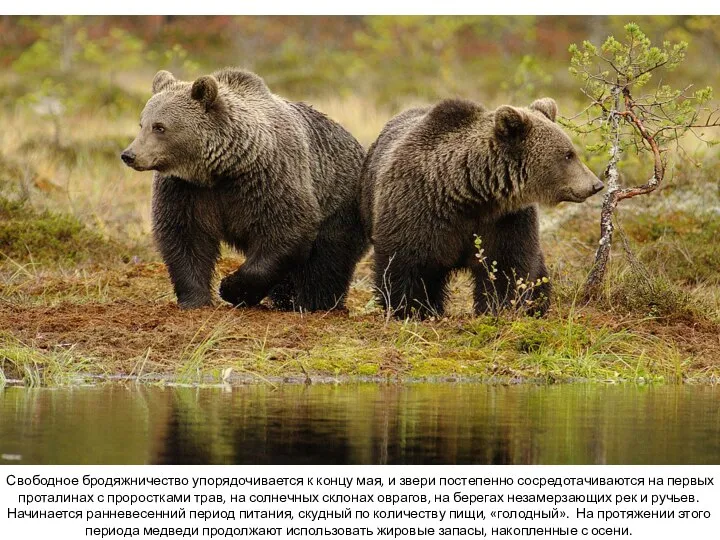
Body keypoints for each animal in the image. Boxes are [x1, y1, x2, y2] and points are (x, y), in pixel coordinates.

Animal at [122, 69, 366, 310]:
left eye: (159, 127)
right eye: (142, 124)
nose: (129, 155)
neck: (220, 170)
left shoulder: (269, 180)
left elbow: (287, 231)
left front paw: (231, 288)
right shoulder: (186, 189)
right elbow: (185, 236)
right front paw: (195, 299)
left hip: (339, 201)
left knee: (327, 260)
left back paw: (314, 303)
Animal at [360, 97, 600, 318]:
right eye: (568, 155)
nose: (596, 184)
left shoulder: (506, 219)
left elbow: (506, 265)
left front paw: (497, 308)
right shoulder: (419, 209)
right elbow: (408, 263)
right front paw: (412, 309)